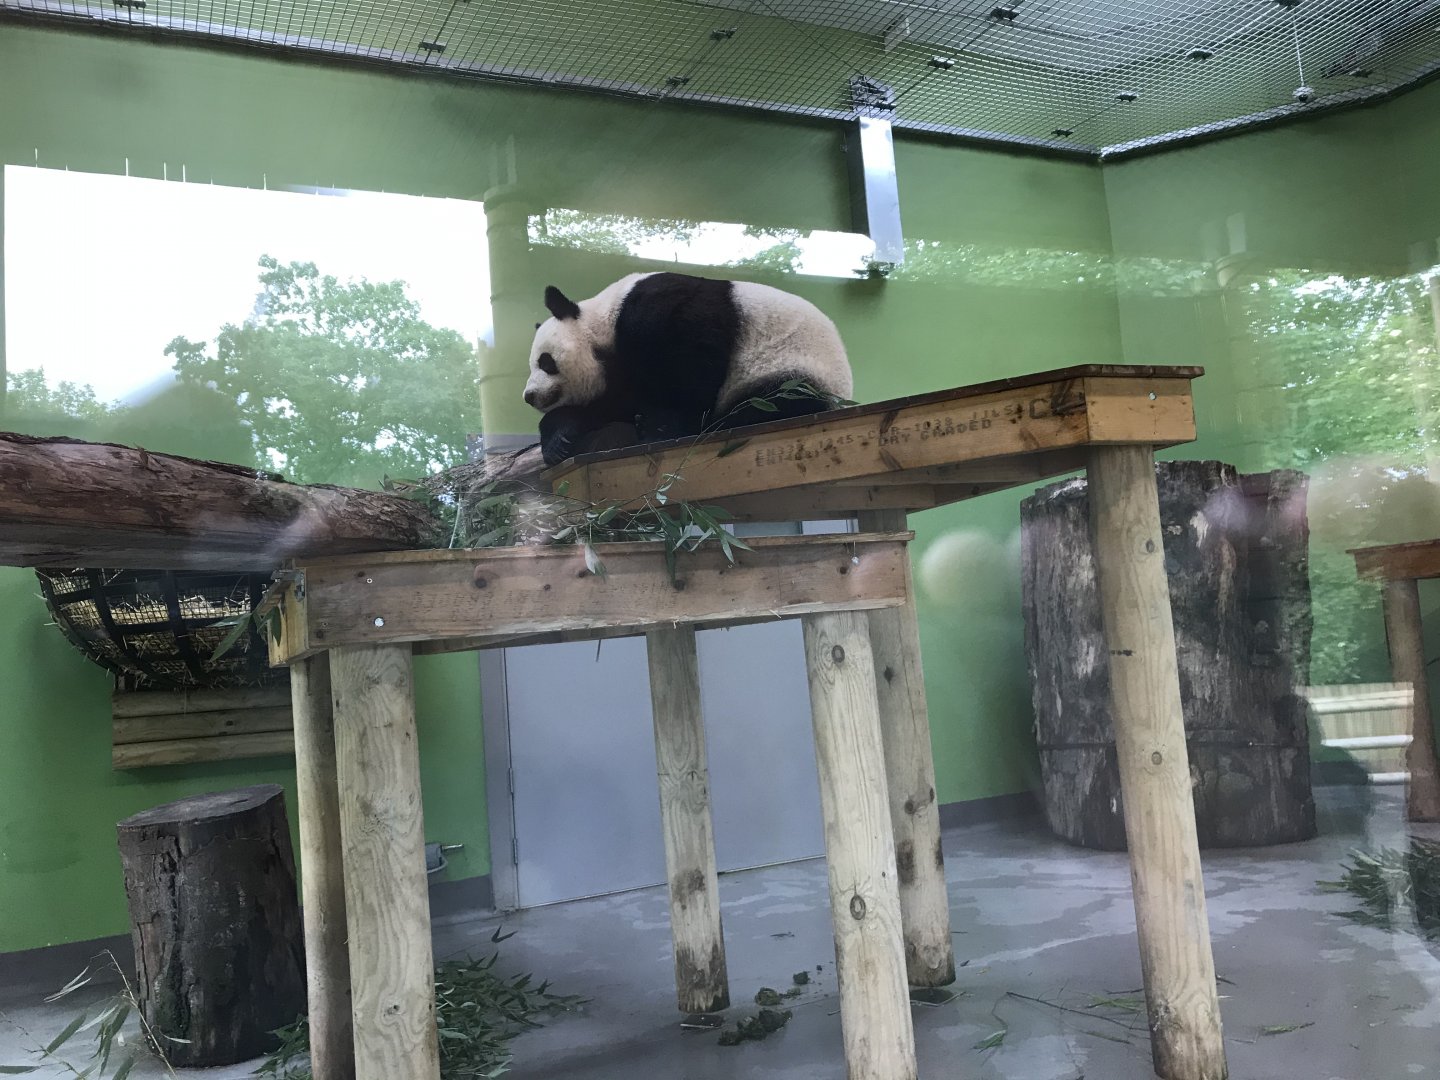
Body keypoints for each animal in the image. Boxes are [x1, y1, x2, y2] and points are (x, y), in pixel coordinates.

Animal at [523, 272, 853, 466]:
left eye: (545, 362)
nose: (529, 396)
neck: (604, 322)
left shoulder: (658, 312)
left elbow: (692, 369)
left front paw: (662, 428)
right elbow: (616, 402)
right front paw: (558, 439)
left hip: (790, 368)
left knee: (773, 402)